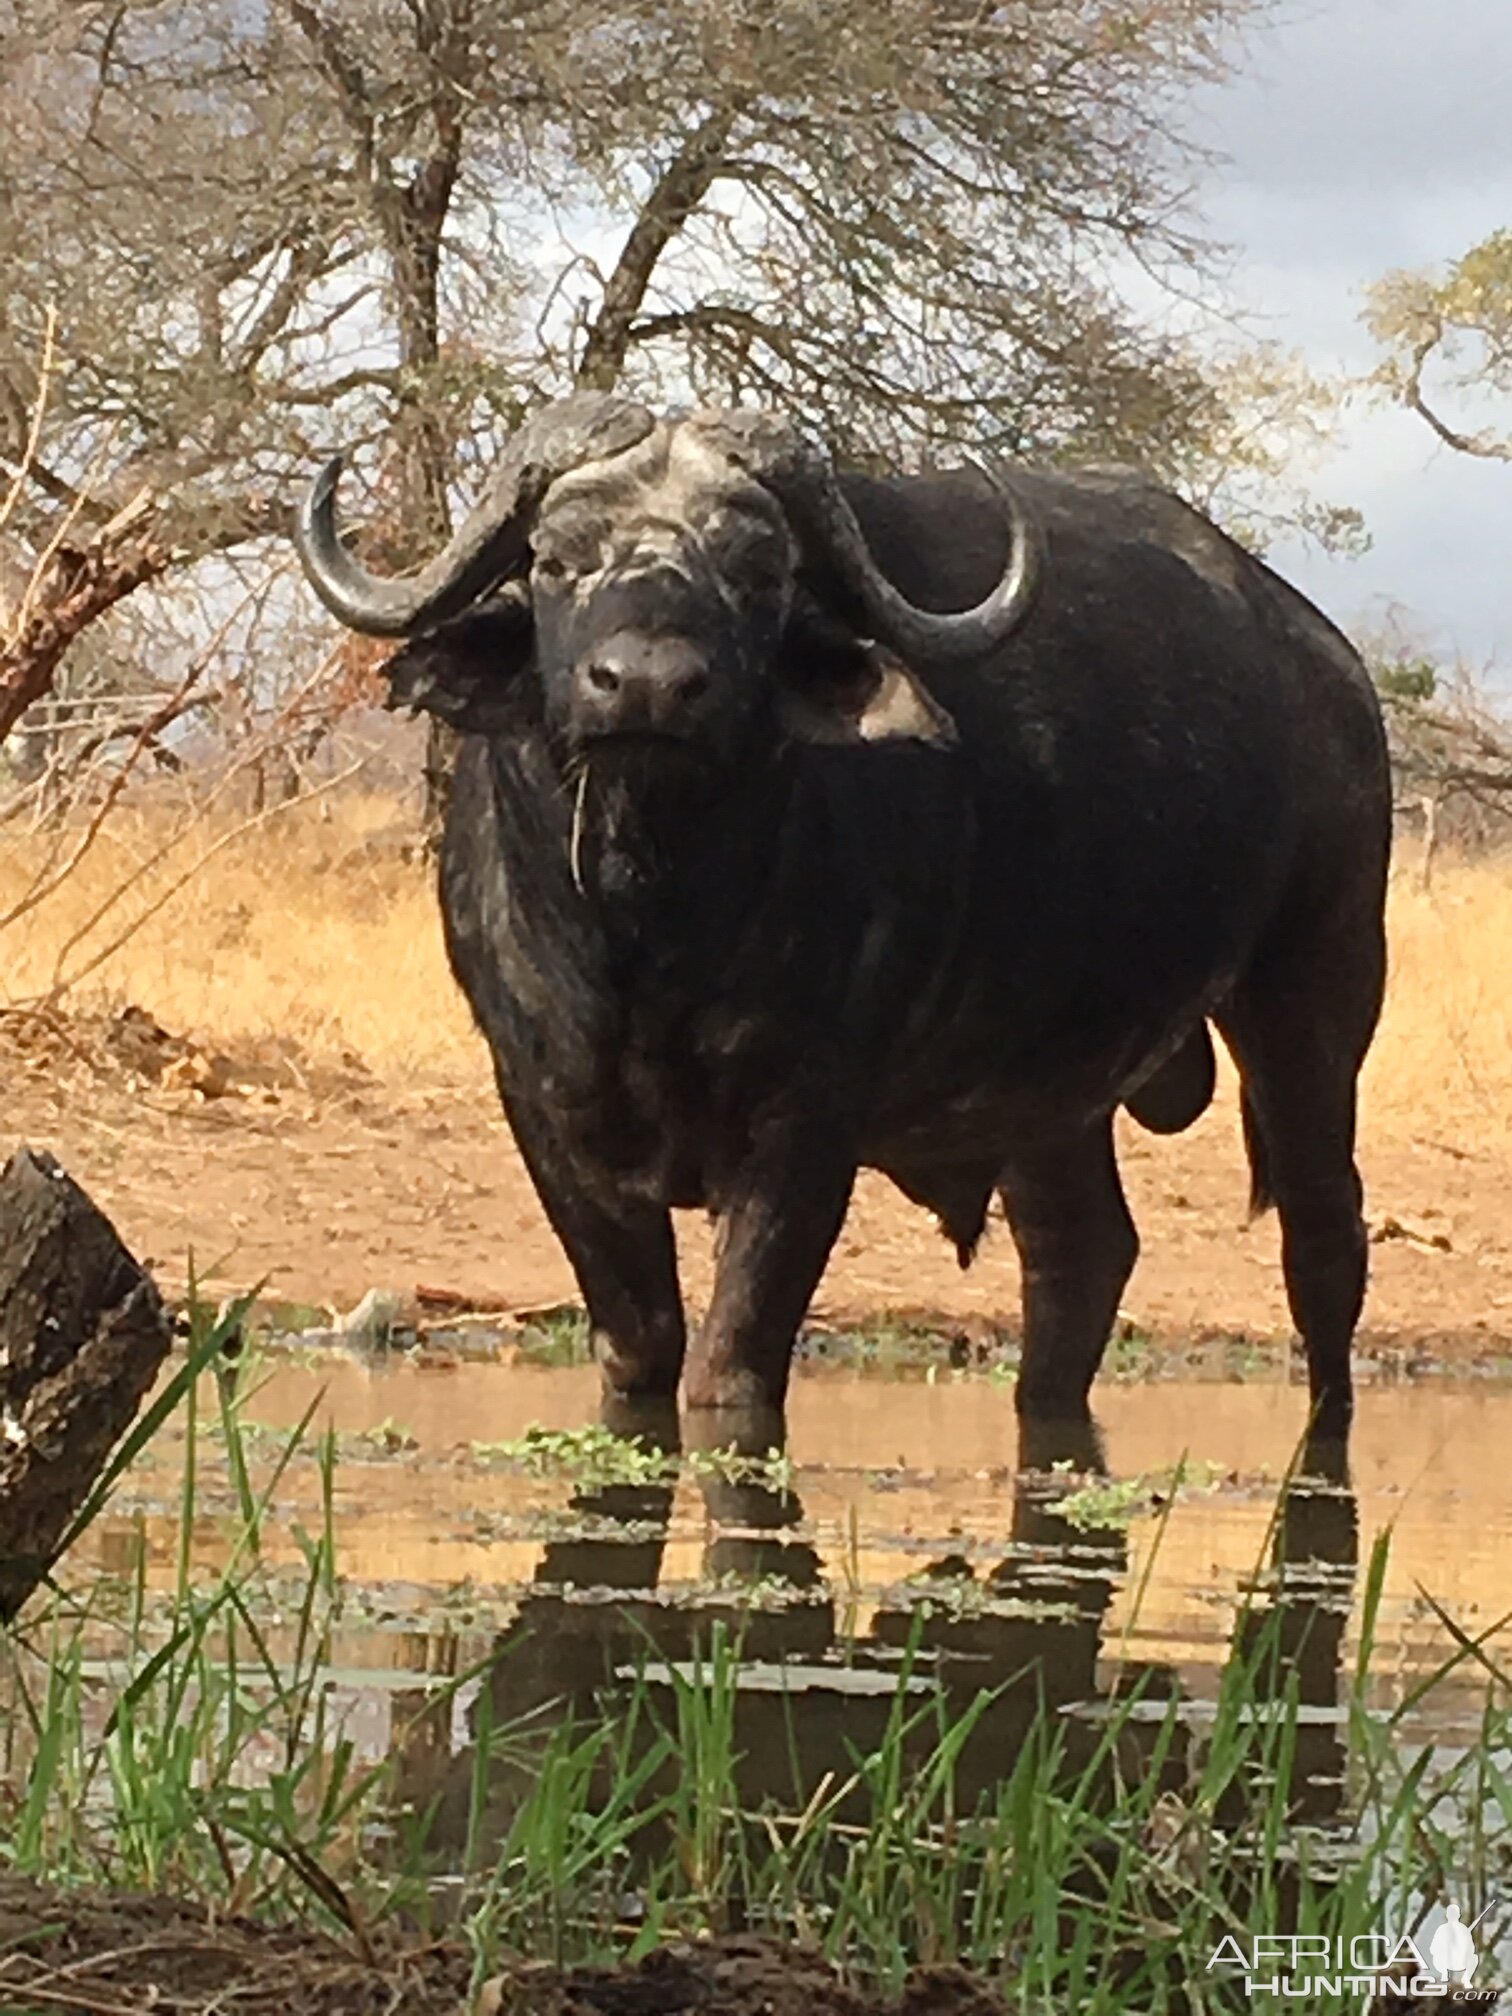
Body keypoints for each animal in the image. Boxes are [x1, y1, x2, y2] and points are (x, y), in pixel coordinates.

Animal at [296, 393, 1395, 1435]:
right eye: (560, 558)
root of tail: (1330, 669)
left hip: (1314, 1001)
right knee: (1081, 1253)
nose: (646, 684)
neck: (649, 933)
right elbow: (639, 1357)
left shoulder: (803, 1131)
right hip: (1047, 1092)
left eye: (757, 571)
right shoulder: (548, 1113)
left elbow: (731, 1372)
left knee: (1323, 1243)